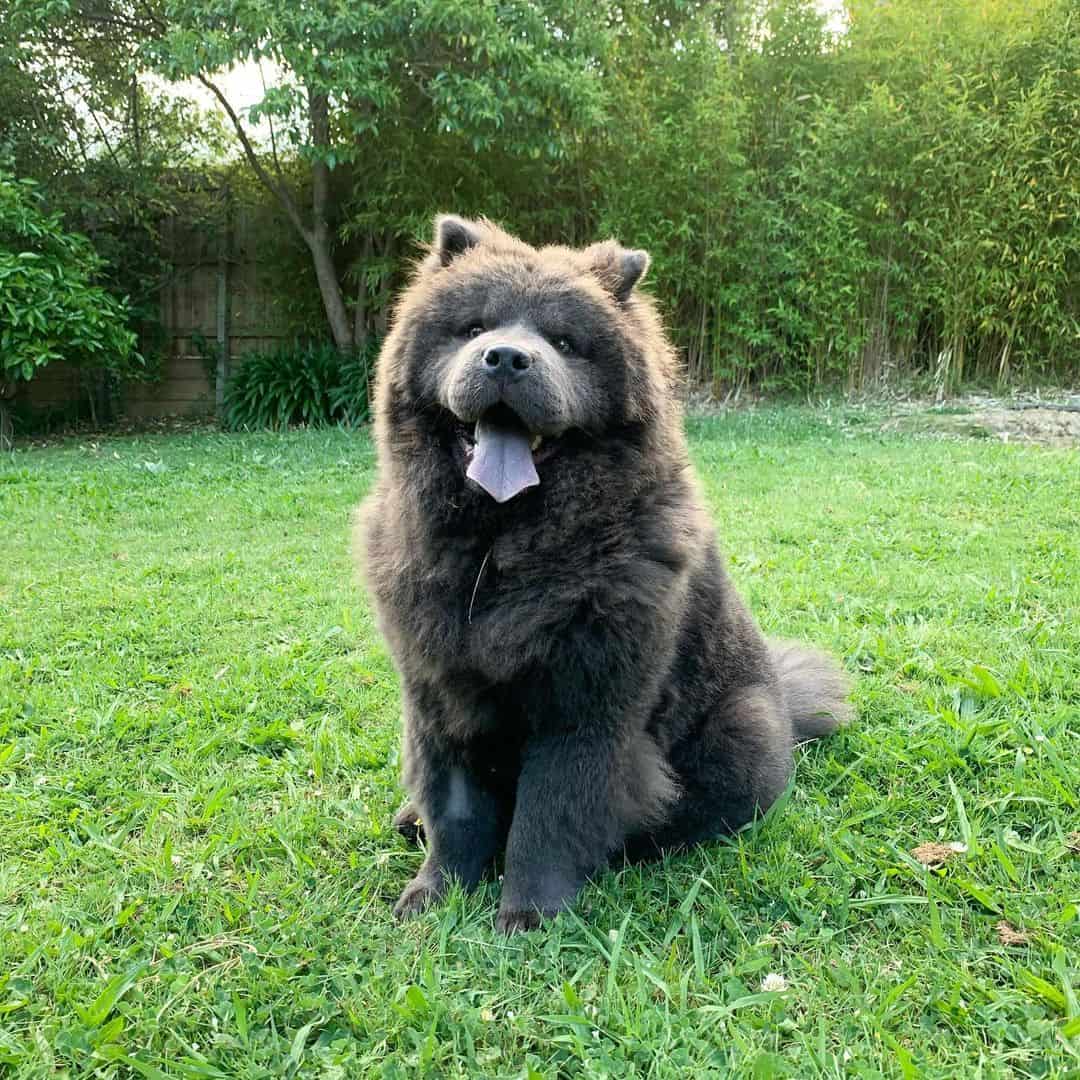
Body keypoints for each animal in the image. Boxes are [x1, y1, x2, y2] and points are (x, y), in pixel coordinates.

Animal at [358, 214, 846, 933]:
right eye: (474, 328)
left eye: (565, 342)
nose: (507, 357)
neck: (497, 555)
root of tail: (782, 702)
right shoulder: (440, 694)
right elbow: (456, 810)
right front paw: (434, 896)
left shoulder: (585, 707)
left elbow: (547, 818)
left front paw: (528, 916)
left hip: (742, 726)